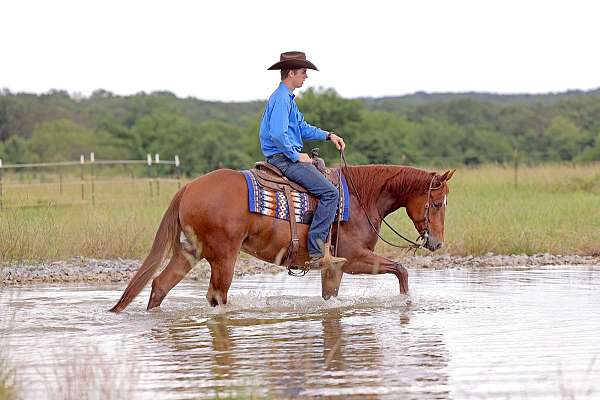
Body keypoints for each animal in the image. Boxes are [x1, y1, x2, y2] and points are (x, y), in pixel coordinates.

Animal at [109, 163, 454, 312]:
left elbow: (330, 298)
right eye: (437, 203)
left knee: (160, 285)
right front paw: (406, 301)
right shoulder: (354, 259)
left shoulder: (334, 267)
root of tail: (189, 188)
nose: (436, 242)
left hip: (189, 253)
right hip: (223, 256)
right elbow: (401, 269)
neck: (360, 198)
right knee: (216, 296)